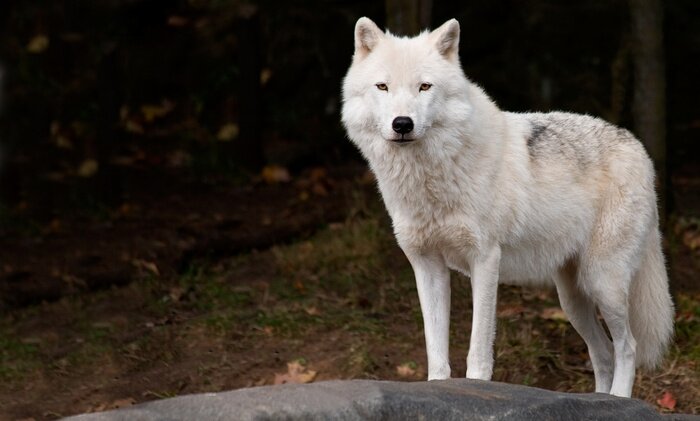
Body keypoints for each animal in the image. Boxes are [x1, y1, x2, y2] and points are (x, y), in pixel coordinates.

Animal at [341, 17, 674, 397]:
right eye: (382, 86)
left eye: (424, 87)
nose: (402, 124)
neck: (430, 180)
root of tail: (638, 147)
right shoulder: (426, 265)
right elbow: (435, 348)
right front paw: (438, 386)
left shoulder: (486, 259)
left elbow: (478, 348)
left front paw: (475, 387)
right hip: (572, 299)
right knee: (603, 354)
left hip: (603, 282)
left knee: (627, 346)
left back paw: (618, 398)